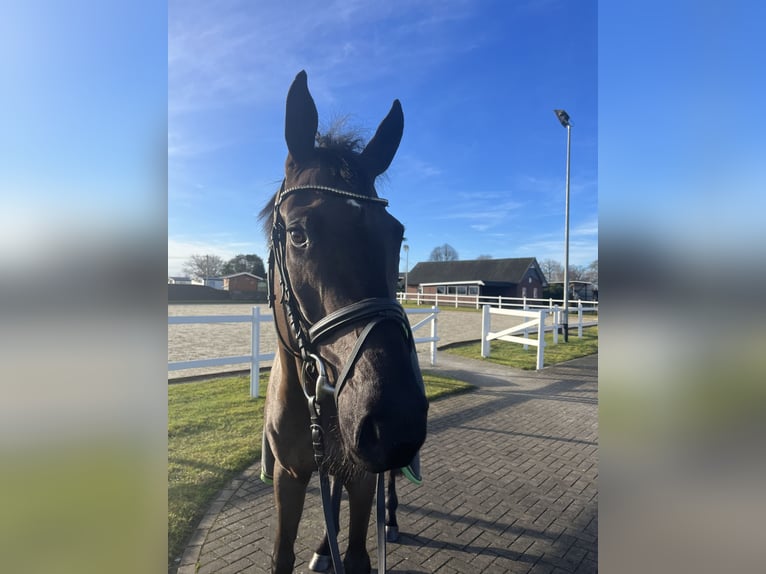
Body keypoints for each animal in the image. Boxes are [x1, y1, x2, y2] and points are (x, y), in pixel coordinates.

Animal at [262, 72, 432, 574]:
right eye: (299, 233)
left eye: (396, 233)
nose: (394, 422)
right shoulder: (288, 474)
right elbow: (282, 554)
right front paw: (321, 542)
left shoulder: (363, 475)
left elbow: (357, 552)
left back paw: (388, 517)